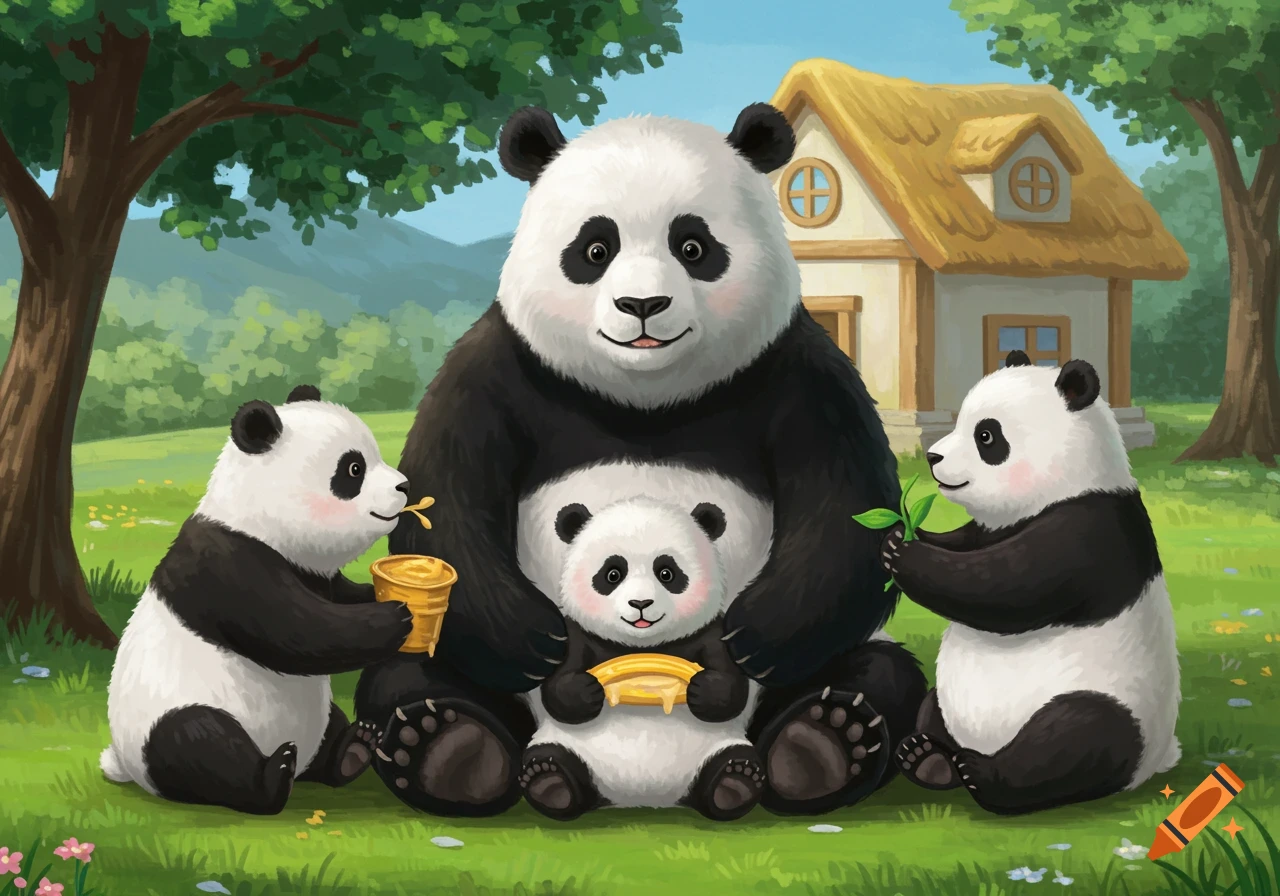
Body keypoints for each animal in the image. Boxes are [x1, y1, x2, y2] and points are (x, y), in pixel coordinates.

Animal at [100, 385, 416, 815]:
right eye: (353, 469)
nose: (404, 487)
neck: (254, 517)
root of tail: (122, 764)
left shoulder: (312, 572)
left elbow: (339, 599)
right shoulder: (228, 567)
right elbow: (297, 632)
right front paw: (394, 617)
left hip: (318, 714)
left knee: (328, 733)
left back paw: (353, 749)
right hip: (173, 719)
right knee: (199, 744)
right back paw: (273, 777)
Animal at [518, 497, 764, 822]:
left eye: (667, 573)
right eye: (612, 574)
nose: (641, 603)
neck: (641, 644)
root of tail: (639, 797)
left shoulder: (711, 632)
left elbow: (732, 688)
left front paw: (702, 688)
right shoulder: (576, 634)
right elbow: (558, 690)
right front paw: (587, 689)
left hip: (719, 744)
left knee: (731, 758)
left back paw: (735, 782)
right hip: (562, 741)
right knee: (553, 756)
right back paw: (548, 781)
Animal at [884, 351, 1181, 816]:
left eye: (986, 435)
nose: (932, 457)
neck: (1072, 481)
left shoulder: (1088, 533)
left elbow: (1005, 587)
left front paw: (905, 554)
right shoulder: (991, 528)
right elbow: (963, 543)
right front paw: (897, 530)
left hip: (1109, 704)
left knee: (1077, 737)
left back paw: (980, 774)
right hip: (948, 701)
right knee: (932, 707)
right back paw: (928, 758)